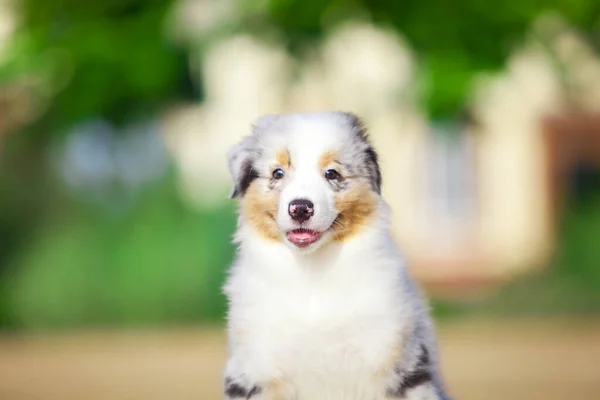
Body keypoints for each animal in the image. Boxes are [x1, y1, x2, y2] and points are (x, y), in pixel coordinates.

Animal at [224, 111, 450, 398]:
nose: (300, 208)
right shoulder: (253, 370)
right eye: (278, 172)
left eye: (331, 173)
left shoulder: (401, 363)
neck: (312, 272)